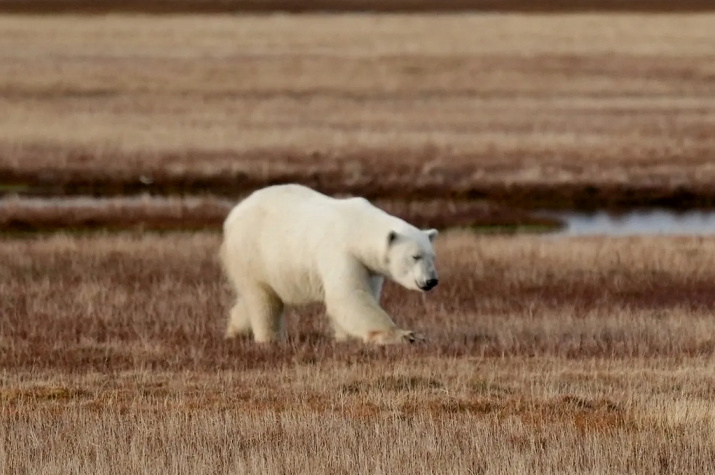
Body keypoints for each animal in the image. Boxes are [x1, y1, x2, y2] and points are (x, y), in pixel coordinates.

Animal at [221, 184, 440, 344]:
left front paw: (345, 337)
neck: (358, 228)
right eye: (415, 256)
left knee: (251, 298)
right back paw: (269, 339)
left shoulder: (369, 267)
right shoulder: (341, 252)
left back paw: (235, 332)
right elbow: (349, 295)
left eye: (432, 256)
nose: (432, 281)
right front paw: (405, 335)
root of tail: (233, 214)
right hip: (252, 252)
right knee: (263, 299)